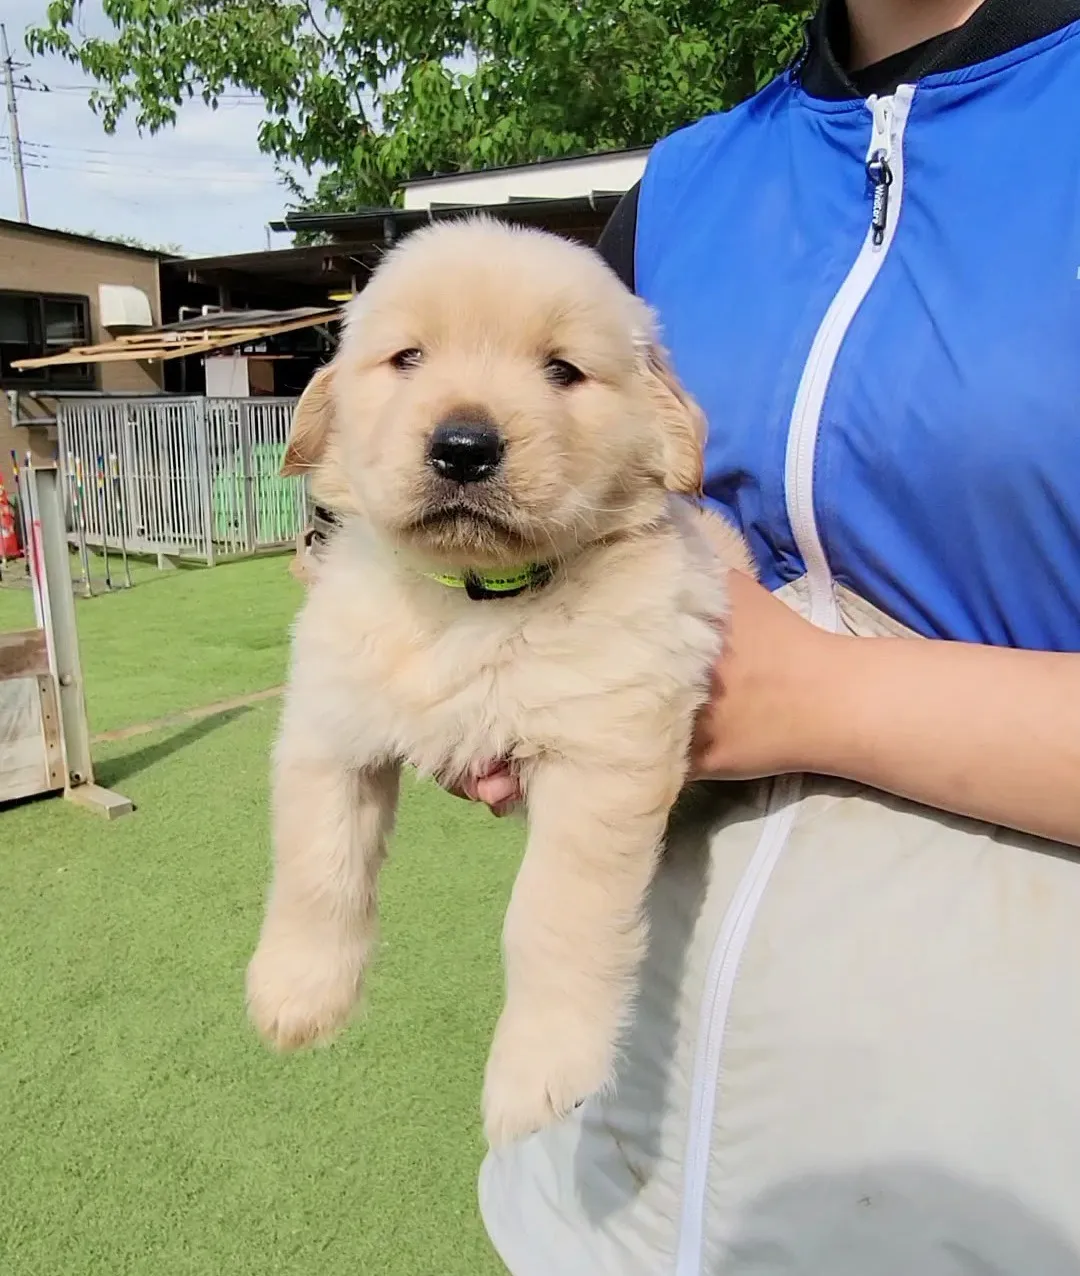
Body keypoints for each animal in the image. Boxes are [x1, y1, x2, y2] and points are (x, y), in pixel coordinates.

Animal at [247, 216, 750, 1148]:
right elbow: (316, 866)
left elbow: (551, 916)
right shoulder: (328, 729)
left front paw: (538, 1070)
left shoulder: (602, 754)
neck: (471, 600)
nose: (463, 447)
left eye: (562, 370)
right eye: (408, 358)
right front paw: (298, 993)